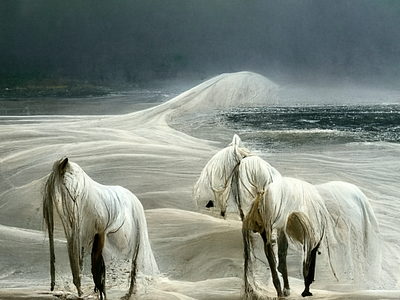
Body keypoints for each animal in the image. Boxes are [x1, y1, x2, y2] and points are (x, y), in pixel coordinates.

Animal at [41, 158, 158, 298]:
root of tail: (136, 200)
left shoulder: (98, 231)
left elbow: (96, 267)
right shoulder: (80, 235)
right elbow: (82, 265)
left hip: (135, 242)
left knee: (133, 268)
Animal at [194, 135, 382, 298]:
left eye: (233, 173)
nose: (243, 215)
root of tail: (359, 194)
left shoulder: (279, 230)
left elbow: (280, 257)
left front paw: (286, 290)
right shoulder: (274, 231)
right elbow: (276, 258)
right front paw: (282, 289)